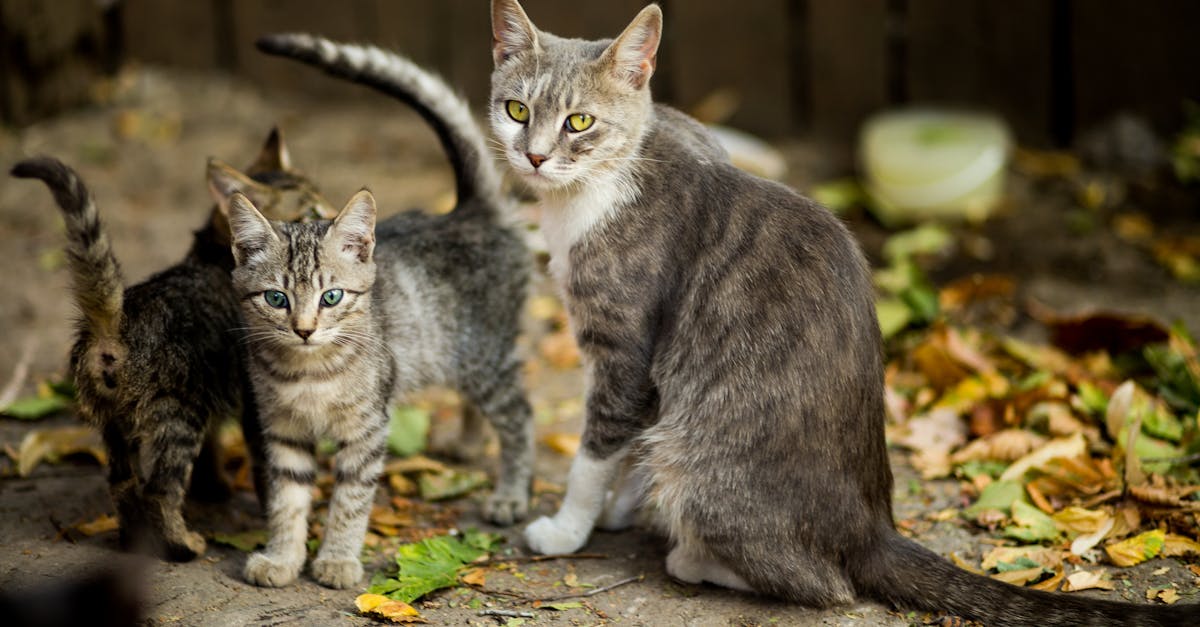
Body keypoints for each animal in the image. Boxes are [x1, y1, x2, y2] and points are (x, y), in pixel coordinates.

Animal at [225, 42, 535, 586]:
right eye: (276, 299)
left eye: (331, 297)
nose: (304, 330)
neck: (309, 372)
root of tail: (468, 212)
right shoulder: (282, 431)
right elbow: (287, 499)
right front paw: (282, 557)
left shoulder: (368, 428)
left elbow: (350, 500)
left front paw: (337, 559)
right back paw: (467, 445)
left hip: (485, 358)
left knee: (520, 416)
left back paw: (510, 494)